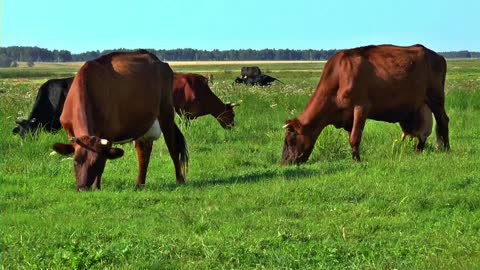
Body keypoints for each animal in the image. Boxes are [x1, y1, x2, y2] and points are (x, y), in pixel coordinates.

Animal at [52, 50, 188, 190]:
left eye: (96, 163)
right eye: (75, 161)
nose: (83, 188)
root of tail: (158, 60)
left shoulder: (109, 133)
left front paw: (96, 187)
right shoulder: (70, 132)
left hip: (166, 112)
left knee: (172, 147)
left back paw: (180, 180)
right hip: (142, 122)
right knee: (143, 152)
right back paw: (139, 184)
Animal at [282, 44, 450, 165]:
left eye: (290, 140)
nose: (283, 162)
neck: (339, 76)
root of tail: (438, 55)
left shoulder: (361, 107)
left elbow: (355, 137)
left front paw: (357, 162)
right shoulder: (347, 116)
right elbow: (351, 137)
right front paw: (355, 158)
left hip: (436, 98)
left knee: (443, 121)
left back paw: (447, 149)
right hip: (421, 105)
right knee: (423, 131)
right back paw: (418, 152)